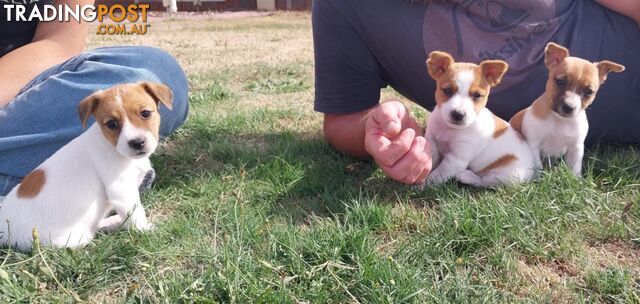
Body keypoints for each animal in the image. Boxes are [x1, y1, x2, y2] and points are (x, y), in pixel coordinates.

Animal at [0, 82, 172, 251]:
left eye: (145, 113)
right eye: (112, 124)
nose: (137, 142)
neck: (112, 146)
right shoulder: (121, 190)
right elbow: (136, 215)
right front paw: (146, 232)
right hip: (70, 239)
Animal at [424, 51, 536, 186]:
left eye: (477, 95)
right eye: (447, 90)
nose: (458, 114)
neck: (449, 129)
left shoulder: (456, 160)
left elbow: (435, 176)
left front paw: (421, 185)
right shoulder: (431, 140)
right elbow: (432, 159)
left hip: (506, 175)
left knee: (484, 181)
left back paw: (466, 176)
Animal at [510, 42, 624, 176]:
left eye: (588, 92)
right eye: (560, 81)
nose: (569, 106)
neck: (560, 120)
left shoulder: (576, 149)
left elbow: (574, 170)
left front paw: (575, 179)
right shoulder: (534, 146)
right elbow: (538, 168)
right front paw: (539, 178)